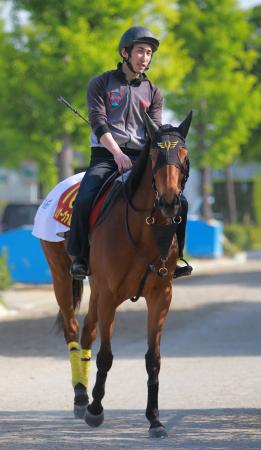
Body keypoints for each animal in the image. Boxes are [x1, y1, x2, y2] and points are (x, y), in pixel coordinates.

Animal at [40, 108, 191, 436]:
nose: (170, 202)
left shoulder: (161, 296)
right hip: (61, 275)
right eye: (155, 156)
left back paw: (83, 395)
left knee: (87, 330)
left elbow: (153, 358)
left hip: (96, 289)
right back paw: (81, 396)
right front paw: (96, 410)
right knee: (73, 328)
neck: (145, 228)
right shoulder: (110, 294)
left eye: (184, 154)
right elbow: (106, 355)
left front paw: (155, 420)